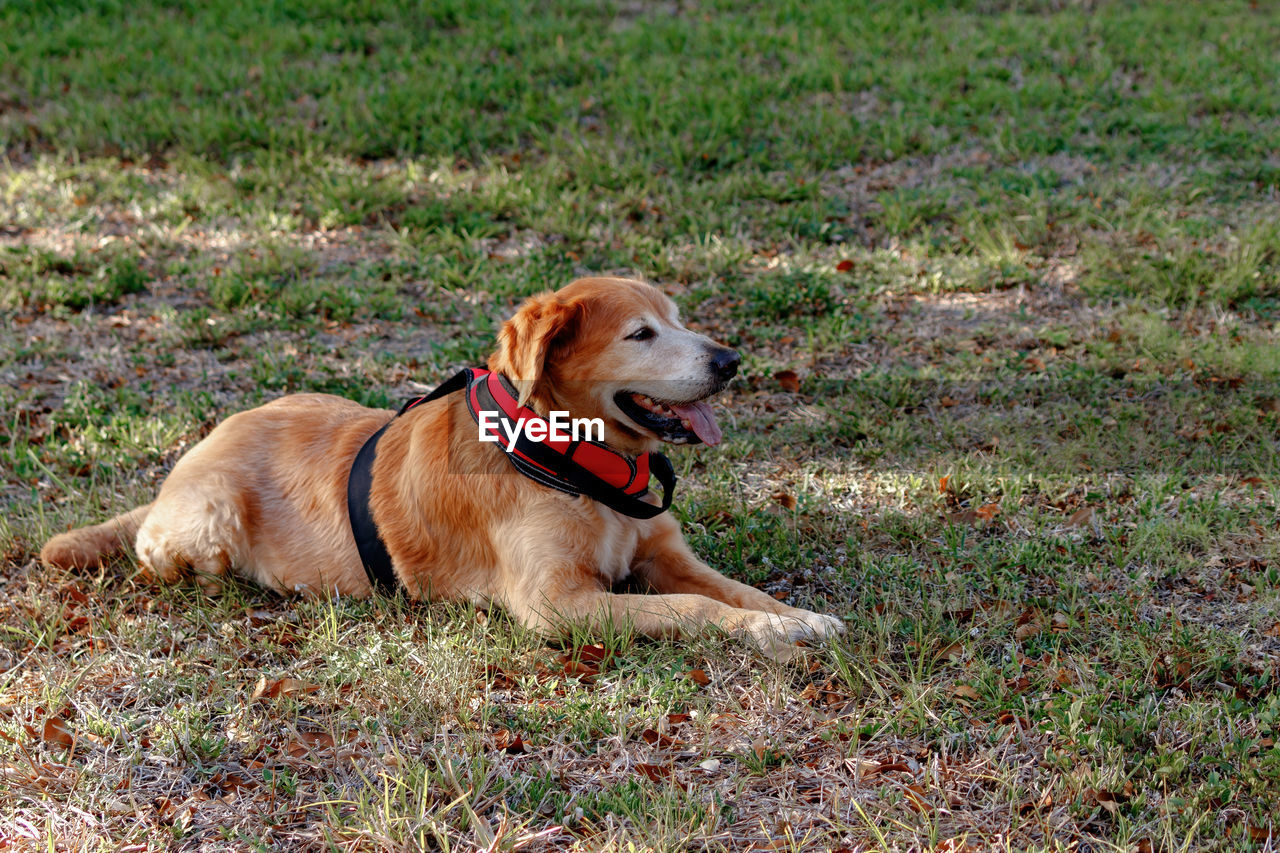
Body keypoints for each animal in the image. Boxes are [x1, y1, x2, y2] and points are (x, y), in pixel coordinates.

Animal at [40, 275, 844, 653]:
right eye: (641, 334)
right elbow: (694, 609)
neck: (568, 454)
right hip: (206, 522)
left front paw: (795, 619)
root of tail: (193, 454)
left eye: (677, 319)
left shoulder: (666, 554)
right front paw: (769, 632)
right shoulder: (555, 603)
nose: (731, 360)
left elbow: (740, 591)